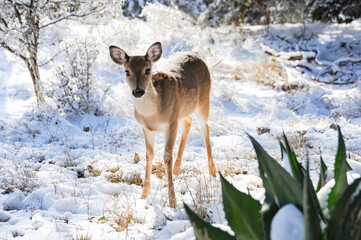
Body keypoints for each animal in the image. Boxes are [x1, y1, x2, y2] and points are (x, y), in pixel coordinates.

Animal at [108, 42, 215, 207]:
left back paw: (212, 172)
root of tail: (195, 53)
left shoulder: (170, 123)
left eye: (147, 70)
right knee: (188, 122)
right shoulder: (146, 128)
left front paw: (172, 201)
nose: (138, 91)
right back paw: (177, 169)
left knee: (205, 128)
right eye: (127, 71)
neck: (153, 115)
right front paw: (143, 195)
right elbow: (149, 155)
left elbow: (166, 157)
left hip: (203, 100)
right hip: (183, 110)